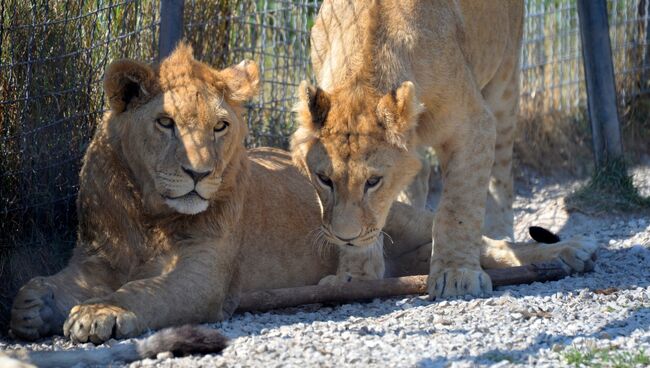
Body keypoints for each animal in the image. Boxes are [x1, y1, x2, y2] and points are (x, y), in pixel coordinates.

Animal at [11, 44, 592, 346]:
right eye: (165, 122)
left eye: (220, 126)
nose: (199, 173)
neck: (146, 210)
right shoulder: (95, 254)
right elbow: (57, 281)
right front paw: (34, 305)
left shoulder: (205, 270)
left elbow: (147, 292)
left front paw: (100, 313)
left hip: (402, 223)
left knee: (487, 244)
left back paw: (570, 253)